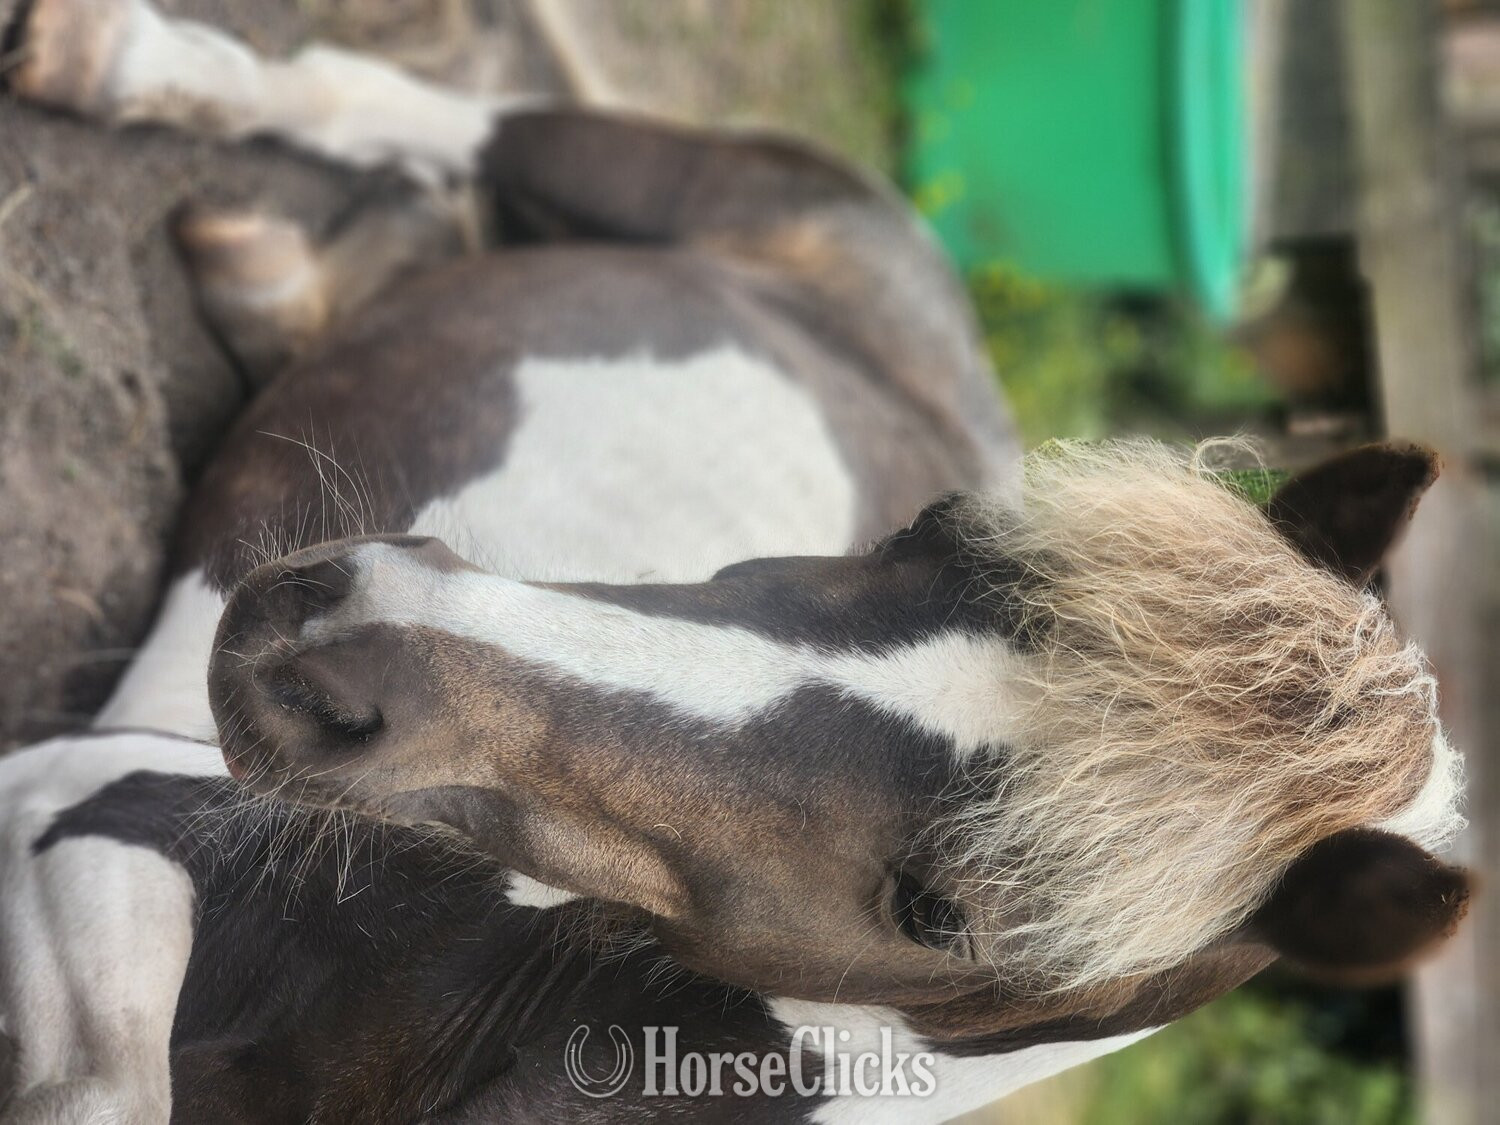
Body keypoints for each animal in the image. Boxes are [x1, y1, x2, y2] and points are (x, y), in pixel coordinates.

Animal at [0, 1, 1469, 1121]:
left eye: (938, 916)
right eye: (935, 529)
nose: (335, 646)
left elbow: (104, 1085)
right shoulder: (88, 797)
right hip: (654, 179)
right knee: (418, 110)